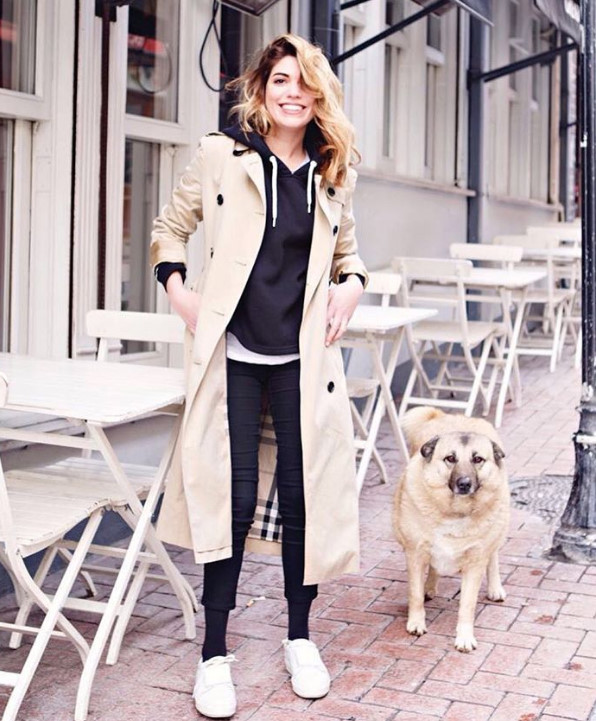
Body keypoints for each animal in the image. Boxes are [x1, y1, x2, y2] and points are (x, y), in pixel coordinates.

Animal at [393, 407, 510, 652]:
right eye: (450, 458)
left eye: (478, 459)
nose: (464, 483)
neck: (454, 511)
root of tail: (449, 416)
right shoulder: (415, 554)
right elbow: (414, 594)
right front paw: (416, 623)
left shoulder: (475, 563)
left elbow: (467, 605)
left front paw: (464, 637)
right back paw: (430, 586)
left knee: (493, 556)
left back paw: (495, 588)